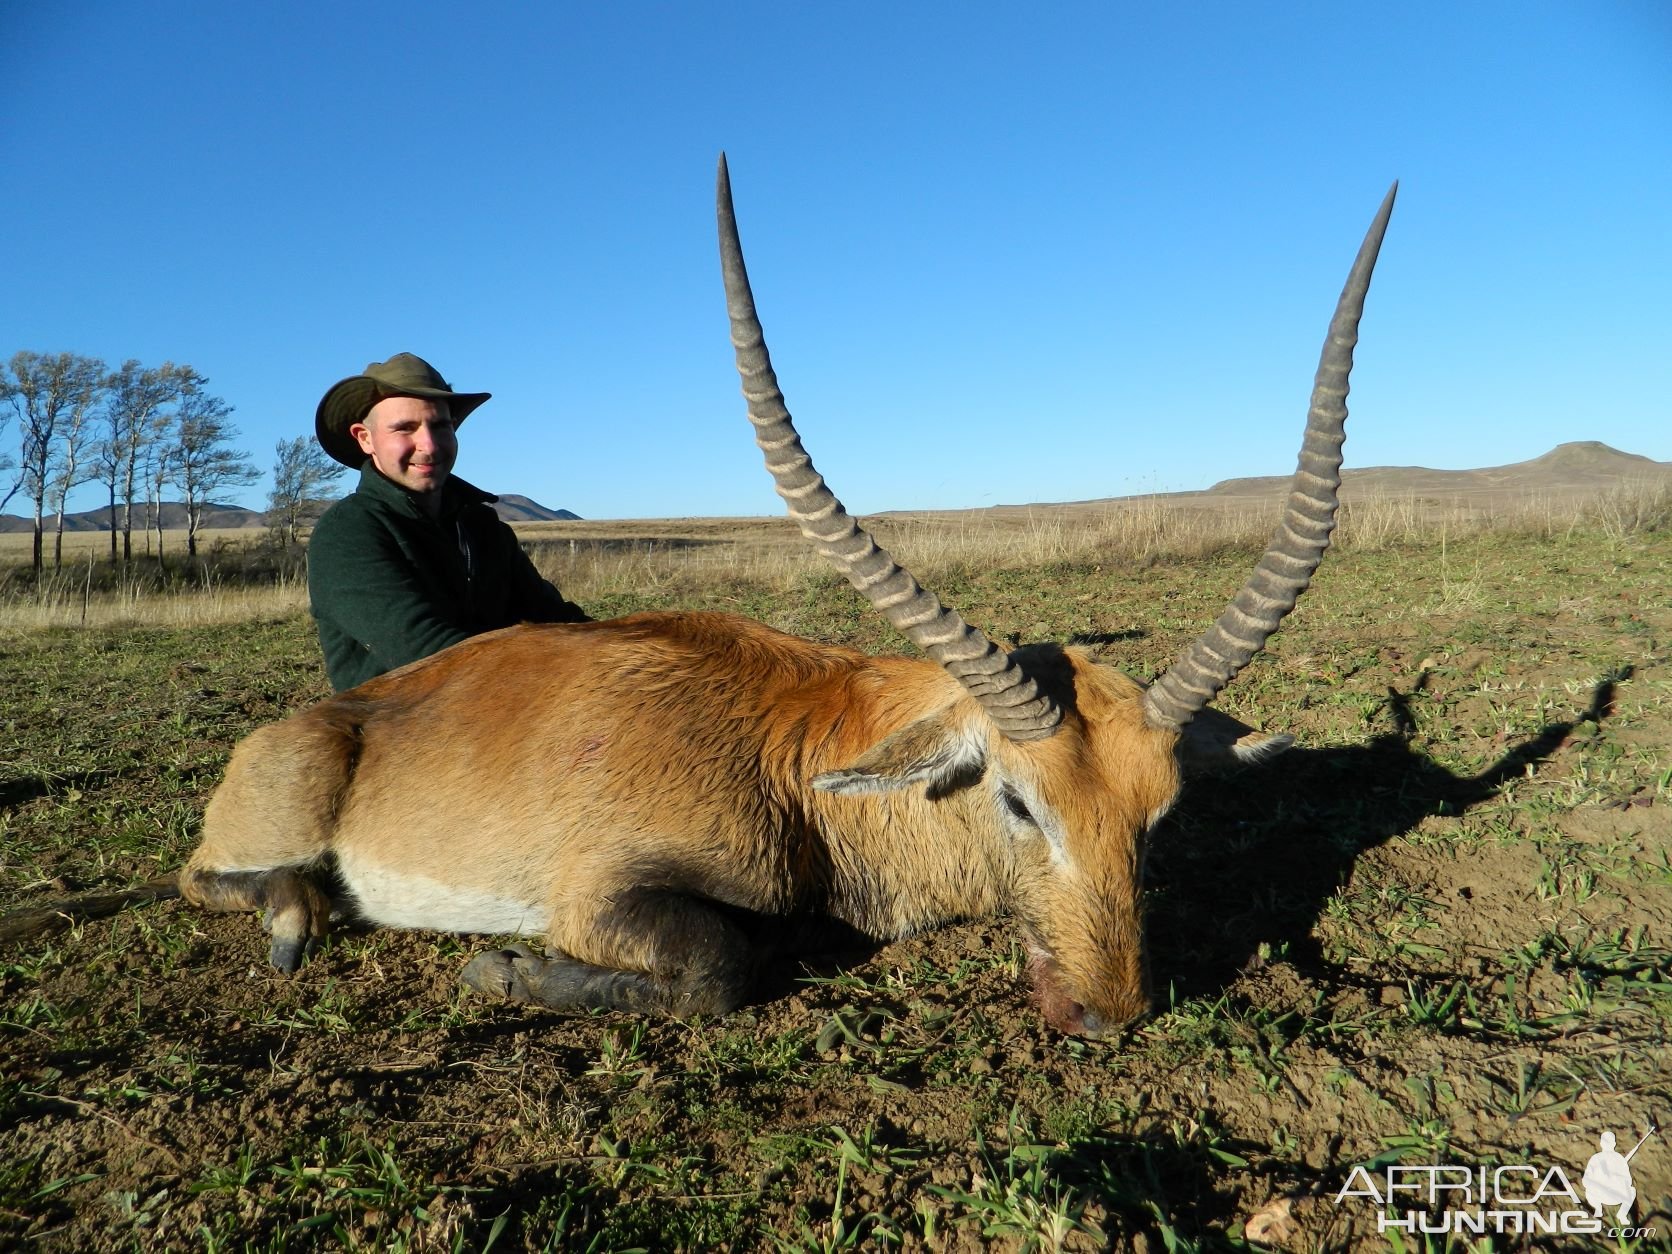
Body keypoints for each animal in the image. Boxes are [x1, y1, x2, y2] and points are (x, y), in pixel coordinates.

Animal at [176, 159, 1391, 1043]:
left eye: (1160, 814)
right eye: (1017, 801)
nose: (1107, 1013)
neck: (793, 748)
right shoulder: (601, 896)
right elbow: (723, 966)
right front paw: (503, 970)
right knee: (216, 881)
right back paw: (291, 915)